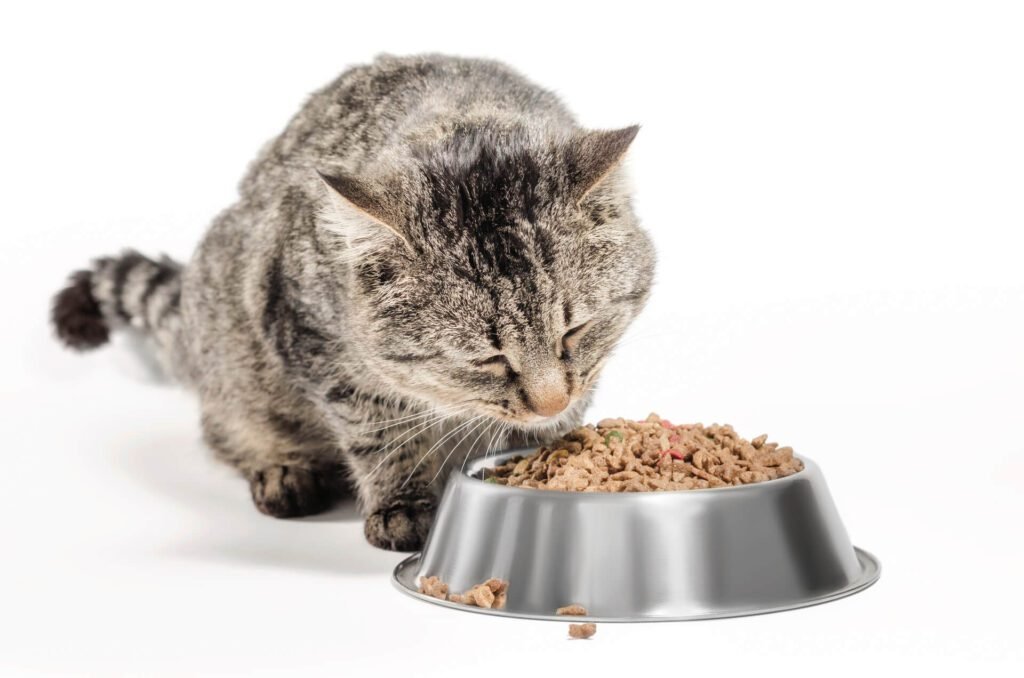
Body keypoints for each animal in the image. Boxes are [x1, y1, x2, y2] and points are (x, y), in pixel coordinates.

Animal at [49, 53, 655, 553]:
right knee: (224, 427)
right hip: (229, 341)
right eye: (487, 359)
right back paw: (282, 468)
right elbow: (378, 431)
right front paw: (402, 502)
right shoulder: (310, 337)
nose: (550, 404)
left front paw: (550, 451)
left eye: (574, 332)